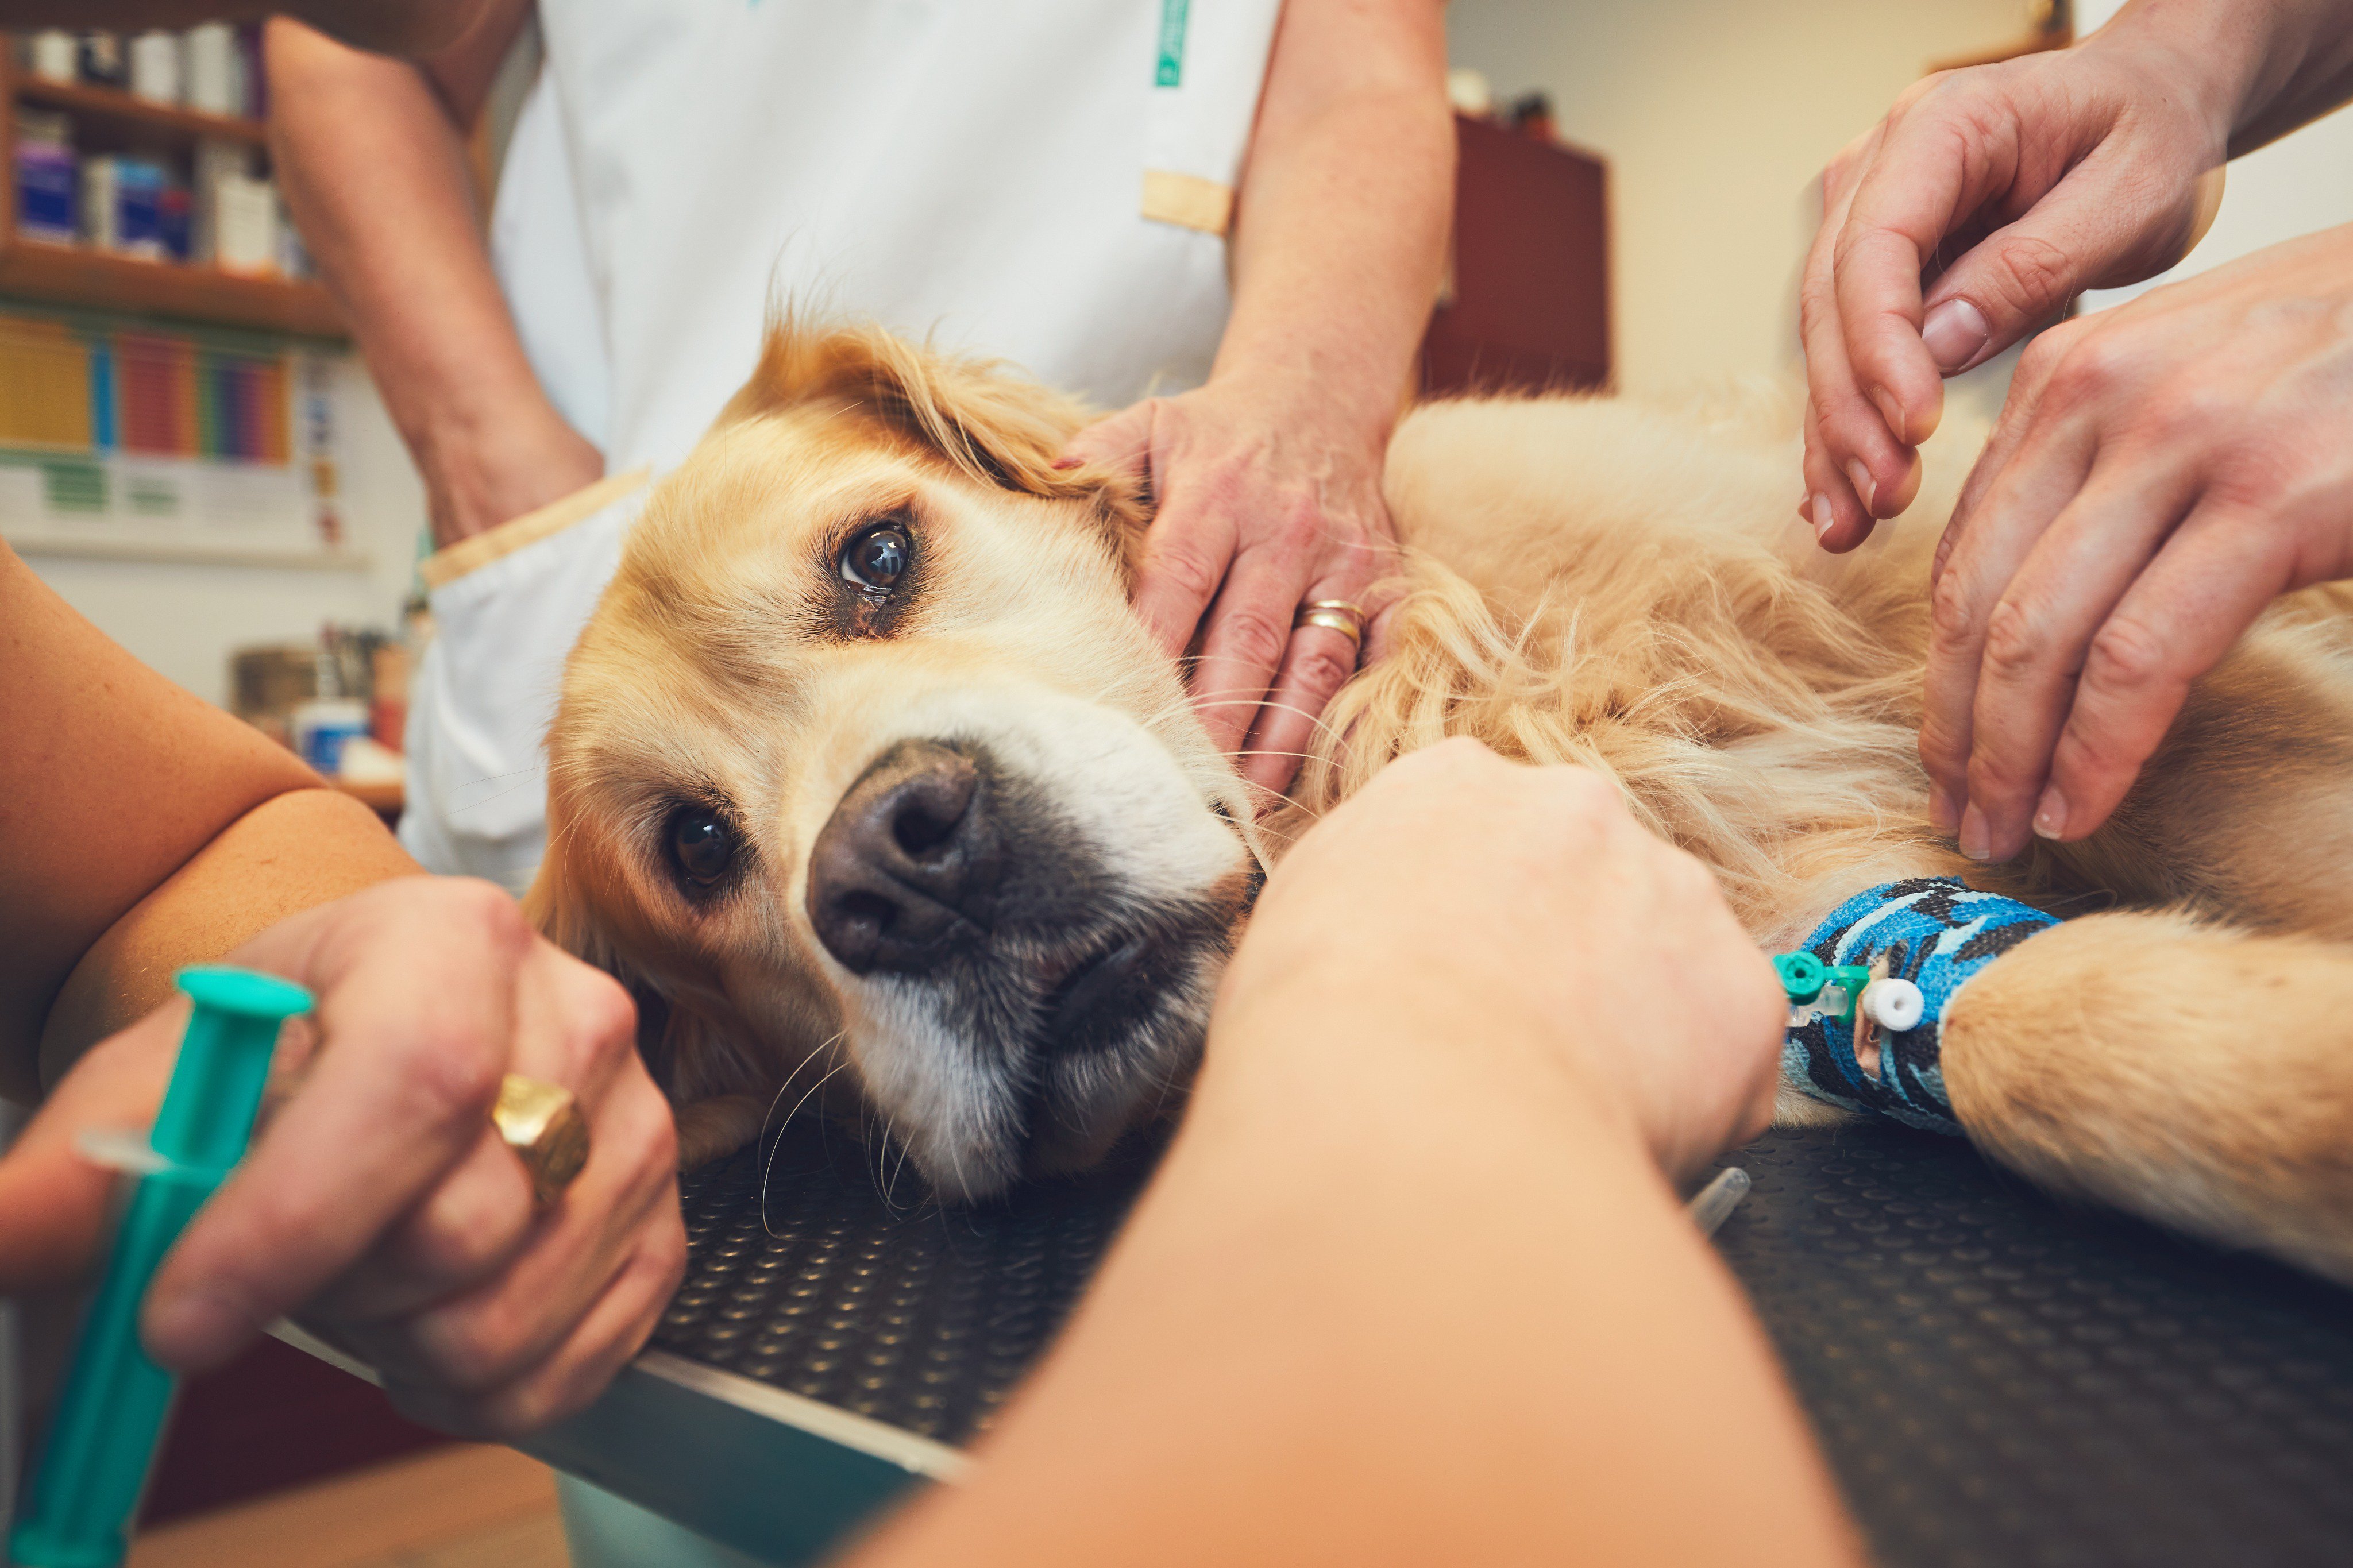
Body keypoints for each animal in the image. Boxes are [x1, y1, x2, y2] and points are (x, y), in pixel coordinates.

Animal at [524, 319, 2353, 1288]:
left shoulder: (2010, 632)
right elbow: (2035, 1032)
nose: (904, 870)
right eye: (695, 850)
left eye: (877, 557)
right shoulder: (1812, 946)